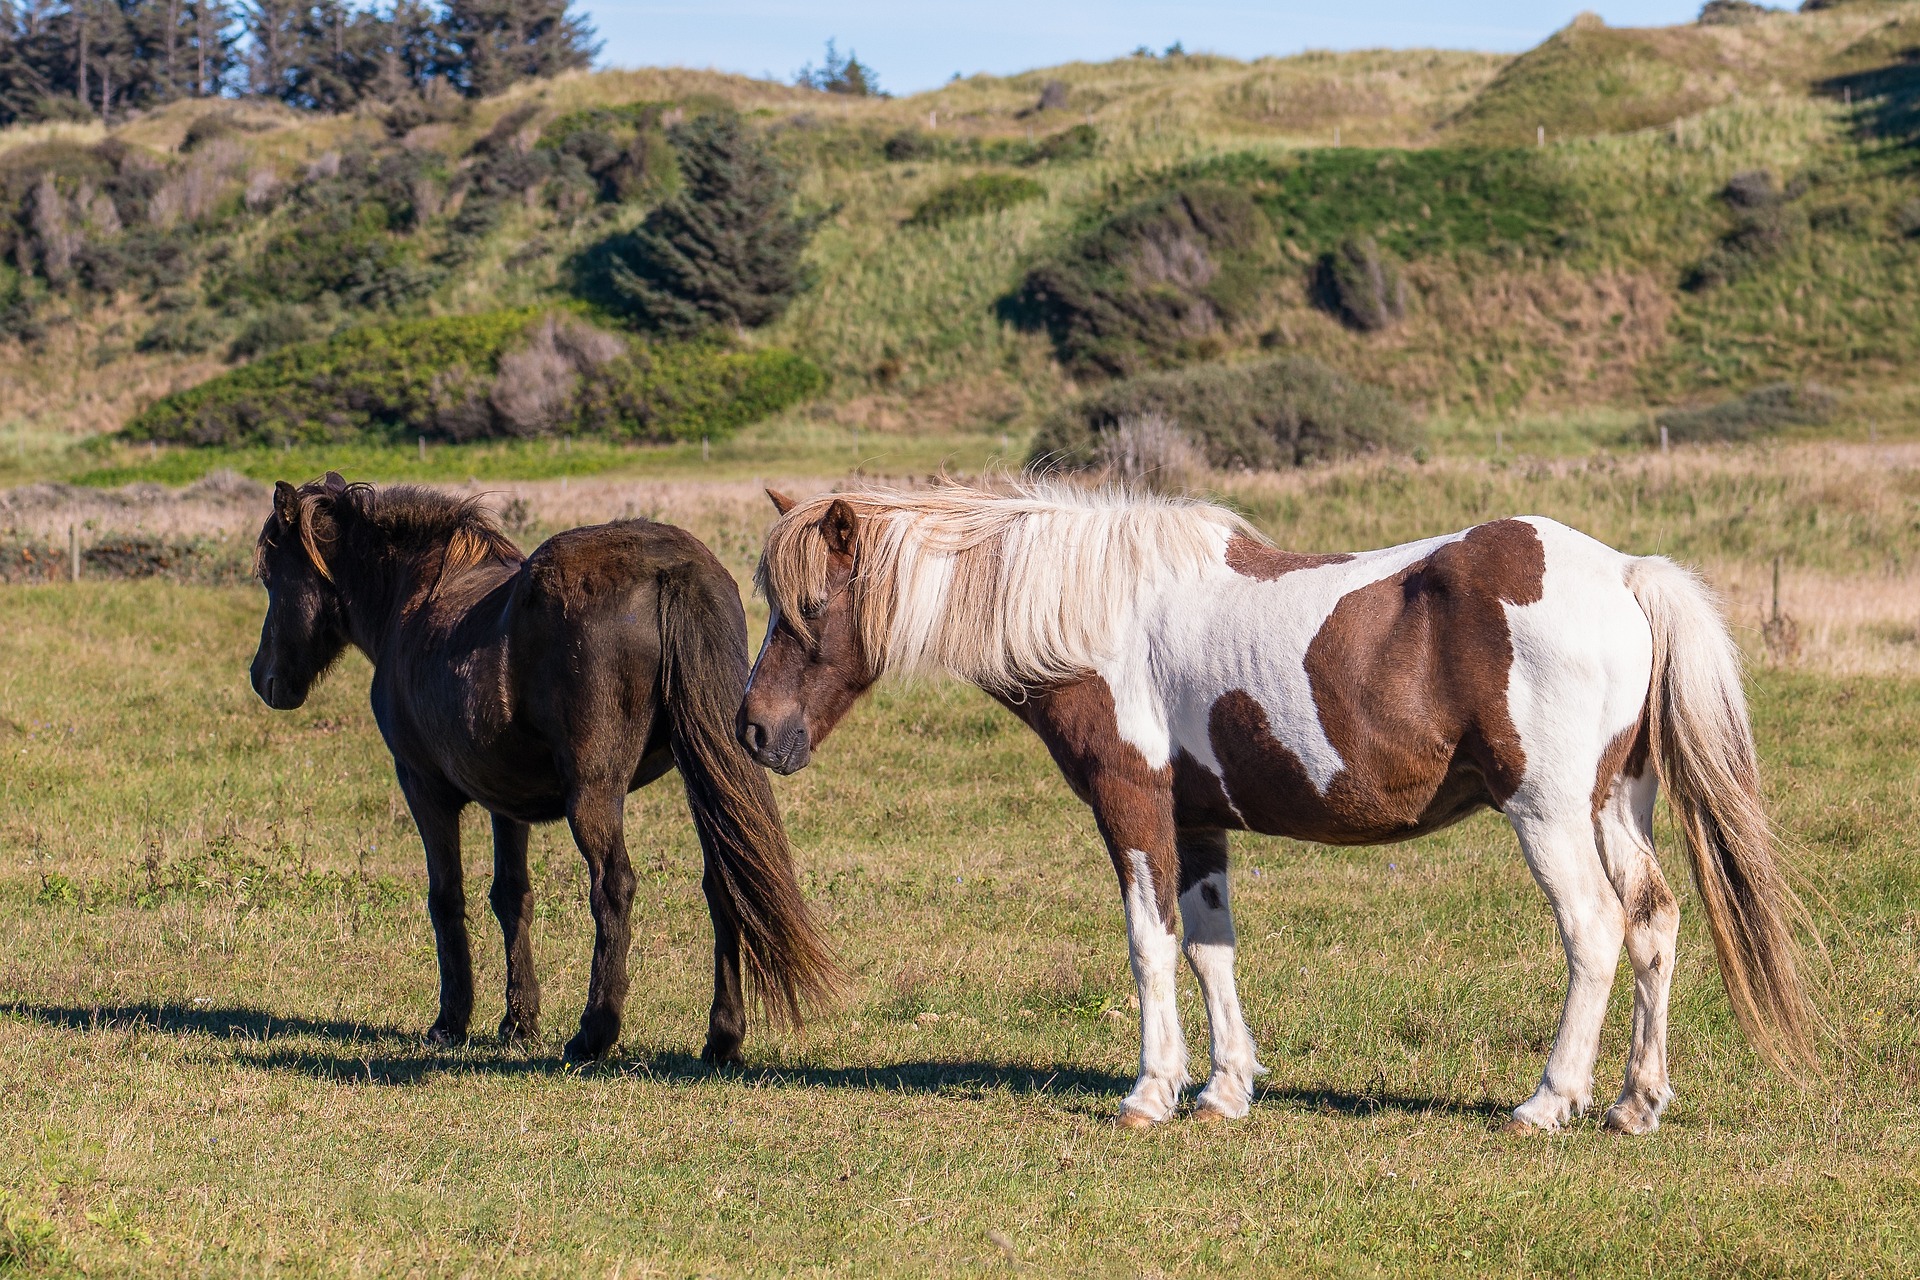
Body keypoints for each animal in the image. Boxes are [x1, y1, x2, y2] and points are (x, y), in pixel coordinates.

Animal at [249, 470, 840, 1059]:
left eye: (272, 577)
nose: (263, 678)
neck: (412, 603)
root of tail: (671, 570)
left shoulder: (423, 787)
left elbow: (446, 897)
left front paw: (451, 1020)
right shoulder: (504, 801)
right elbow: (512, 897)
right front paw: (518, 1020)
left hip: (595, 794)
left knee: (613, 888)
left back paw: (594, 1032)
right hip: (705, 774)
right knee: (723, 886)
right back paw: (722, 1038)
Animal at [737, 483, 1812, 1128]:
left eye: (809, 609)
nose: (755, 730)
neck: (1095, 615)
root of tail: (1624, 575)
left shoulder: (1133, 805)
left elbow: (1150, 943)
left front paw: (1150, 1092)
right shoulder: (1199, 820)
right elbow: (1212, 948)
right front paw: (1223, 1090)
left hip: (1547, 815)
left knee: (1593, 932)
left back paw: (1550, 1102)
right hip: (1611, 808)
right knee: (1654, 924)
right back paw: (1635, 1103)